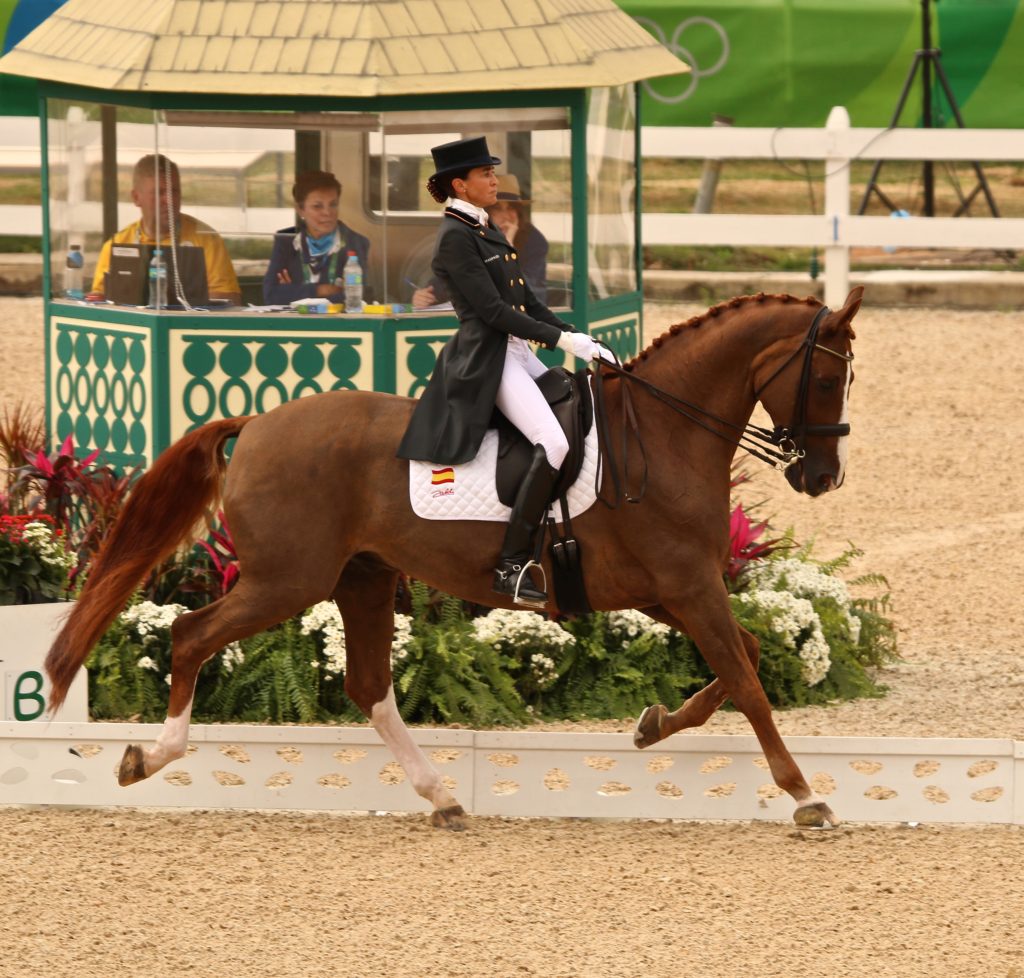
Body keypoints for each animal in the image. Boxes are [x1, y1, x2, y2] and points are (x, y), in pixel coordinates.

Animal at [44, 286, 860, 831]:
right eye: (825, 377)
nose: (823, 479)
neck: (662, 432)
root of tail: (260, 422)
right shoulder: (688, 586)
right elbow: (748, 680)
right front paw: (806, 796)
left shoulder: (668, 589)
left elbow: (741, 658)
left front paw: (653, 724)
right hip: (287, 581)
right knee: (192, 636)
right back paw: (147, 759)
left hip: (362, 578)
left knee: (368, 685)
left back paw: (441, 796)